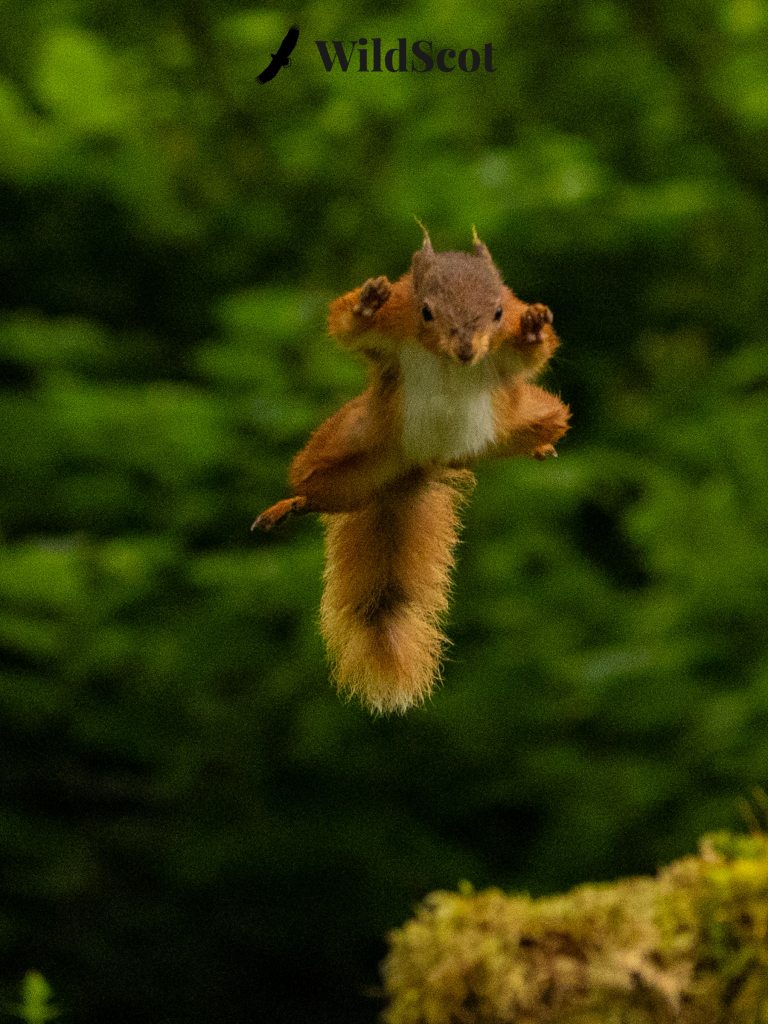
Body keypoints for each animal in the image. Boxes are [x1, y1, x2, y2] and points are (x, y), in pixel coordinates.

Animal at [253, 226, 570, 714]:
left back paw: (533, 448)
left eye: (499, 312)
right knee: (319, 489)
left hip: (525, 414)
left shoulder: (505, 353)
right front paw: (366, 302)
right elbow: (346, 328)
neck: (444, 357)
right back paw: (291, 505)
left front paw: (535, 328)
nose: (466, 350)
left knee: (537, 425)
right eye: (426, 311)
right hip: (352, 445)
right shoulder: (393, 324)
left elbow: (533, 356)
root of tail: (418, 466)